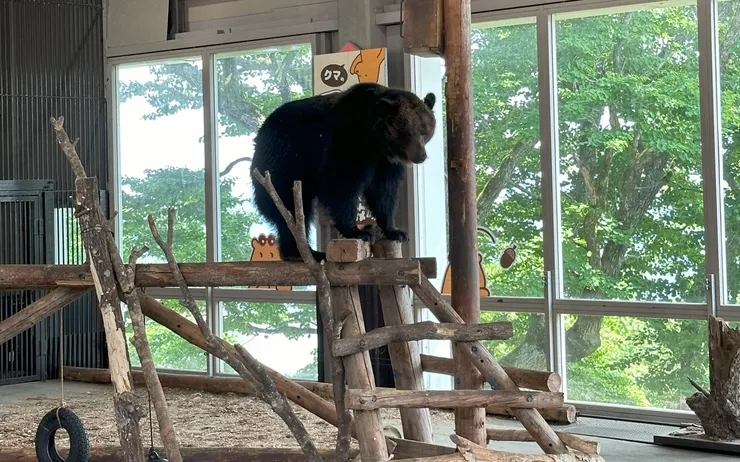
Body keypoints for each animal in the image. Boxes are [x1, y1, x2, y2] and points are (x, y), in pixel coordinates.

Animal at [250, 82, 437, 262]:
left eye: (425, 130)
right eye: (406, 132)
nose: (421, 156)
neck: (374, 142)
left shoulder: (386, 163)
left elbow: (384, 192)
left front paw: (396, 231)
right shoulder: (345, 141)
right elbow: (342, 185)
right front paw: (358, 231)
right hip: (283, 161)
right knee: (289, 205)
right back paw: (302, 252)